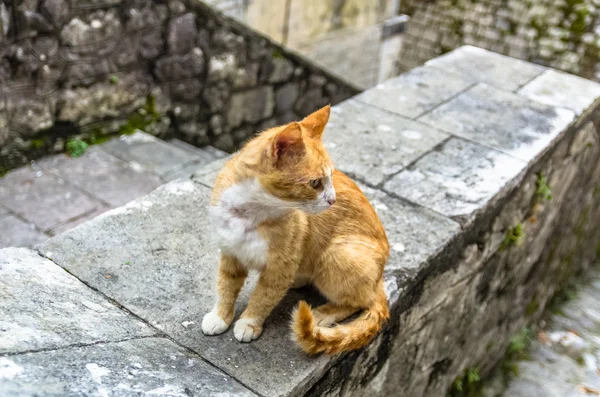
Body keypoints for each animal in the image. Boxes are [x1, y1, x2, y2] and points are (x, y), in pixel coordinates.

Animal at [202, 104, 390, 352]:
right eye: (315, 182)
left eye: (331, 177)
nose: (333, 200)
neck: (249, 214)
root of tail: (380, 280)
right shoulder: (230, 253)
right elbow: (226, 287)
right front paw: (220, 316)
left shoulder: (280, 268)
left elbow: (263, 297)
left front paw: (249, 323)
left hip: (337, 255)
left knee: (360, 300)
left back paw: (324, 313)